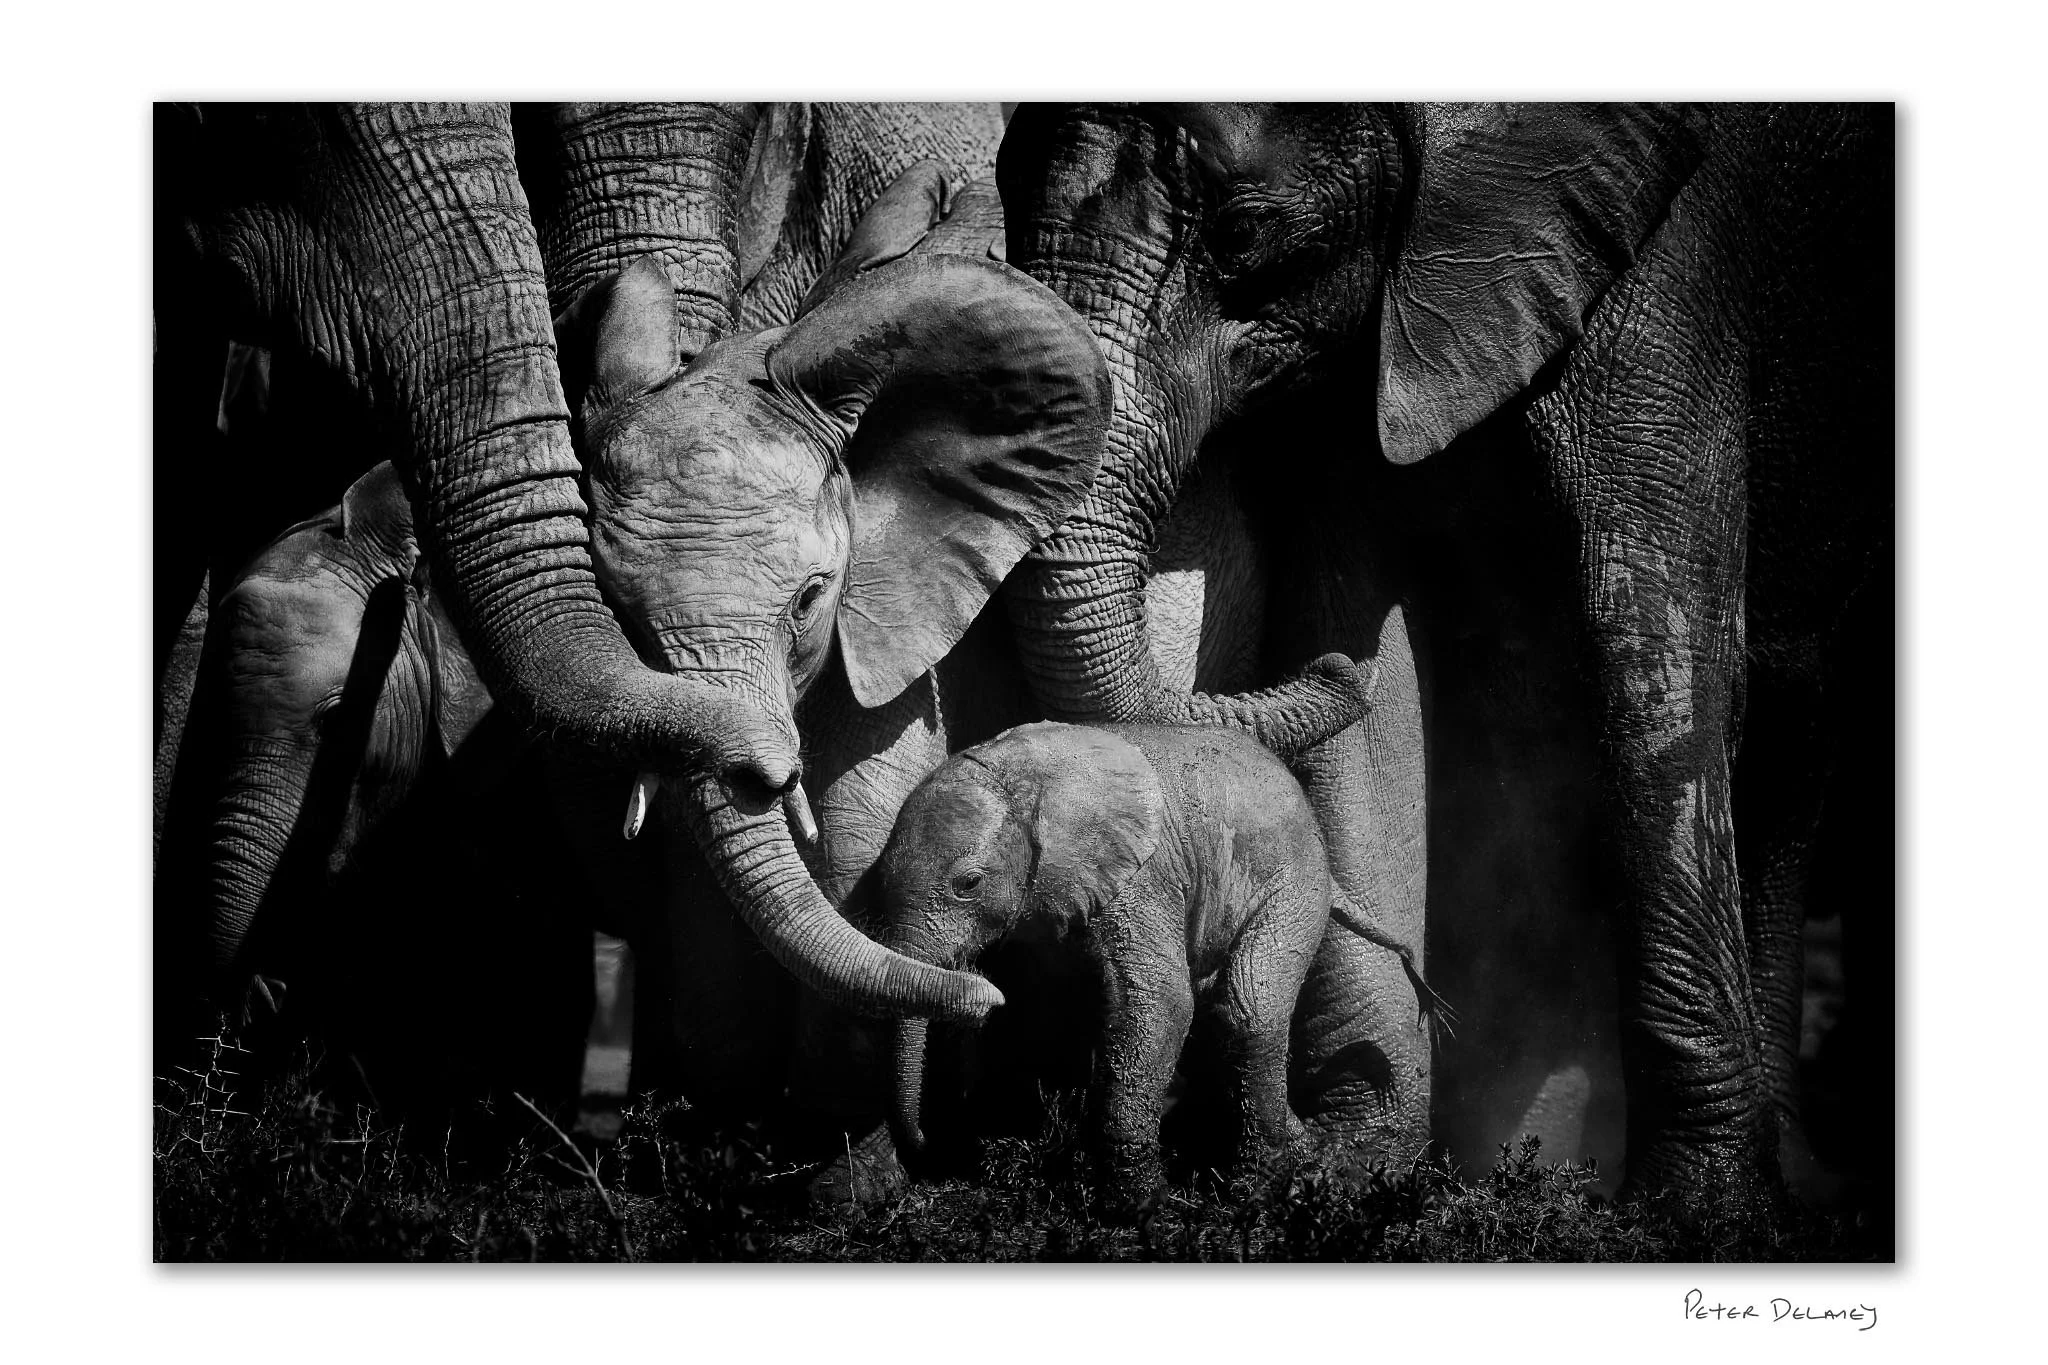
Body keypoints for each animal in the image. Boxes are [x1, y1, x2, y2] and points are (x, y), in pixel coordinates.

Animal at [876, 720, 1436, 1208]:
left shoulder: (1139, 875)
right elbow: (1045, 1012)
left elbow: (1158, 1002)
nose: (928, 1145)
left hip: (1295, 882)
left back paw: (1266, 1187)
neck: (1021, 777)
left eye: (968, 883)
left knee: (1248, 1009)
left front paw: (1137, 1210)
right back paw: (1308, 1159)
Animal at [991, 103, 1892, 1210]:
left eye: (1242, 230)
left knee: (1790, 725)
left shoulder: (1671, 276)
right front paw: (1349, 1169)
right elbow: (1354, 663)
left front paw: (1691, 1212)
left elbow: (1654, 655)